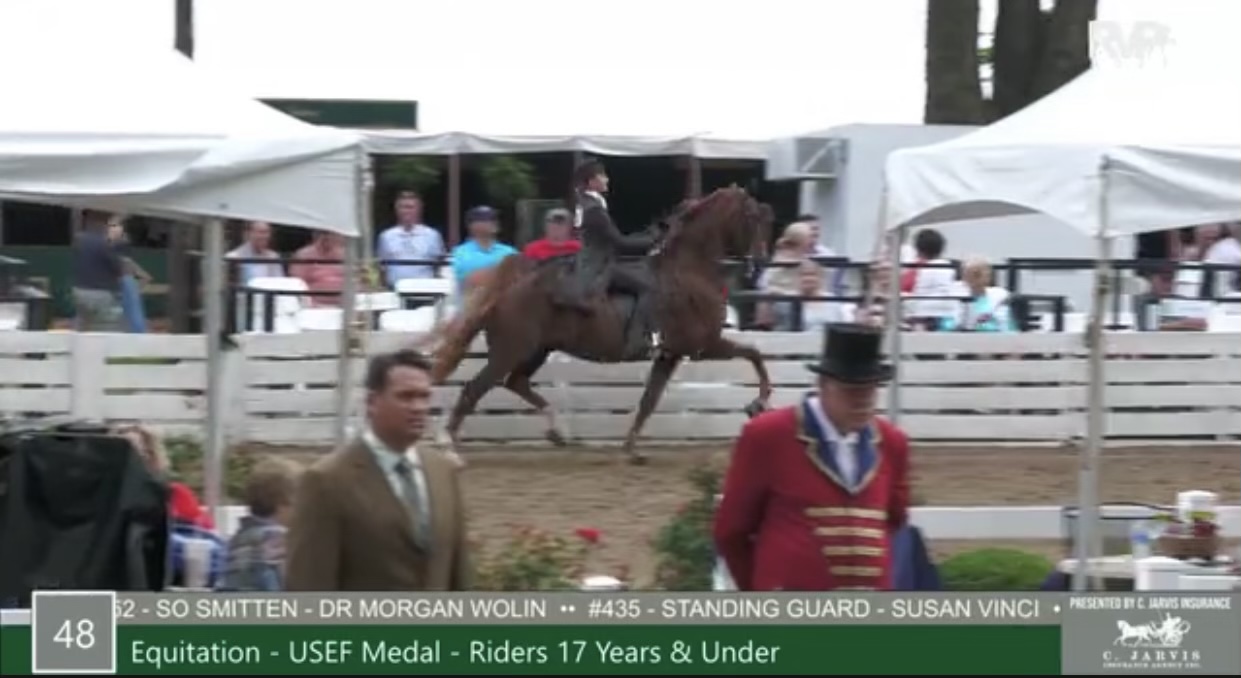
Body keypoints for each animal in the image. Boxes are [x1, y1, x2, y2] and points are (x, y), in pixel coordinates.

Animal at [428, 186, 773, 463]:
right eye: (753, 217)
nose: (761, 262)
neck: (689, 273)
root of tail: (508, 289)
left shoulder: (668, 355)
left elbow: (649, 401)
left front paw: (631, 450)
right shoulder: (704, 346)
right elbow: (754, 353)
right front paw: (758, 402)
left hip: (536, 351)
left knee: (516, 383)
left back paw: (557, 431)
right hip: (509, 351)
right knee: (474, 390)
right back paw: (448, 448)